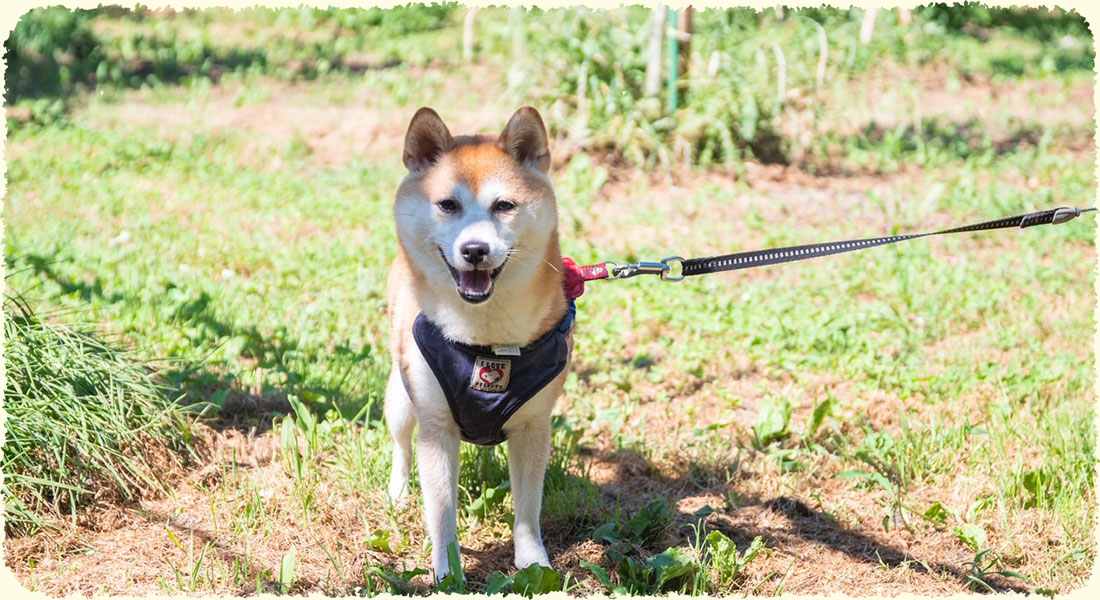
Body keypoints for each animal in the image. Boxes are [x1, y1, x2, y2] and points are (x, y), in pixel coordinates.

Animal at [385, 105, 572, 576]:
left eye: (503, 205)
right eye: (447, 205)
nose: (474, 250)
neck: (487, 342)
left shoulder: (532, 426)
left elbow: (527, 509)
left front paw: (533, 562)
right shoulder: (435, 428)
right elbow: (441, 511)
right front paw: (447, 569)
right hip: (400, 399)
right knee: (400, 447)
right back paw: (397, 493)